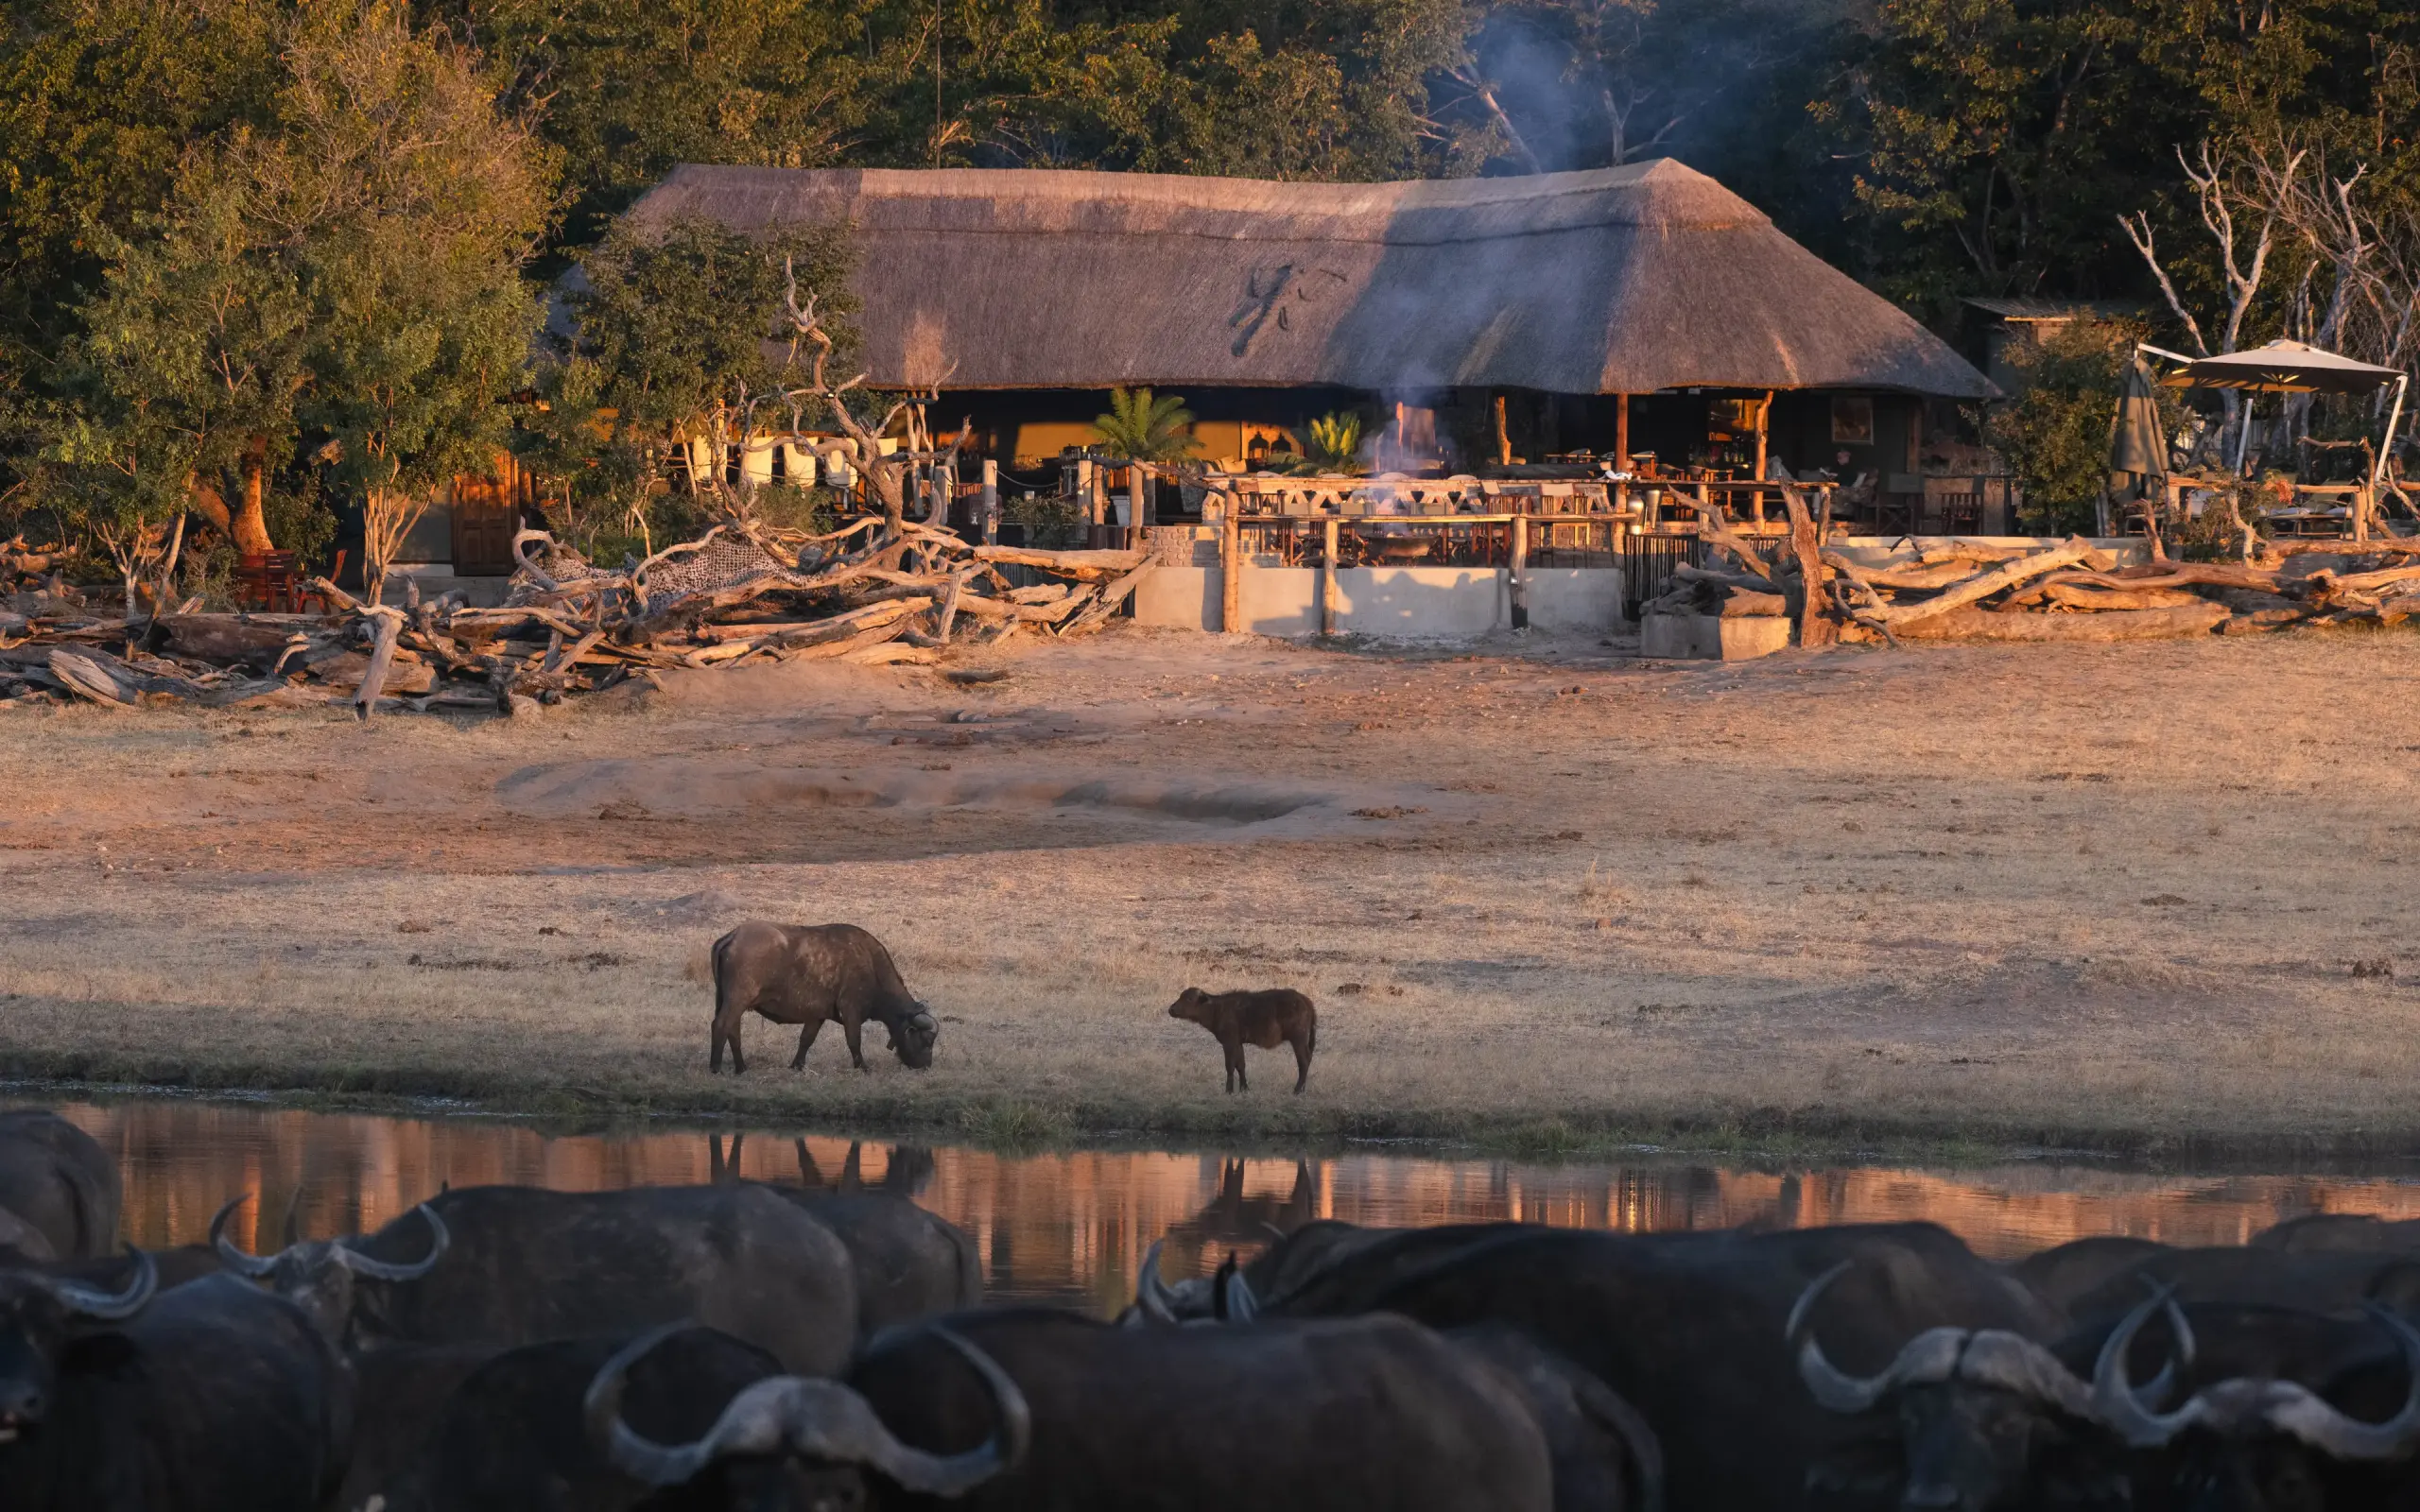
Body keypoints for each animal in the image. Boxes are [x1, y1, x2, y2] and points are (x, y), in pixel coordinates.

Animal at [712, 922, 940, 1074]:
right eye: (927, 1041)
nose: (926, 1066)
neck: (872, 966)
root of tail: (733, 936)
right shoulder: (851, 1009)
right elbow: (854, 1040)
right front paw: (863, 1067)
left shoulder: (816, 1015)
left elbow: (806, 1039)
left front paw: (797, 1065)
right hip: (737, 999)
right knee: (721, 1025)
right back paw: (715, 1068)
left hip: (729, 1001)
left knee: (733, 1030)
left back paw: (741, 1067)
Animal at [1165, 986, 1316, 1093]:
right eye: (1180, 996)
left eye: (1189, 999)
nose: (1171, 1009)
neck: (1217, 1010)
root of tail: (1305, 1000)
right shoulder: (1238, 1043)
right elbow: (1241, 1065)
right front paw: (1244, 1088)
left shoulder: (1229, 1043)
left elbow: (1230, 1066)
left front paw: (1229, 1090)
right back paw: (1302, 1088)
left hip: (1298, 1039)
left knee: (1304, 1061)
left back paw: (1297, 1090)